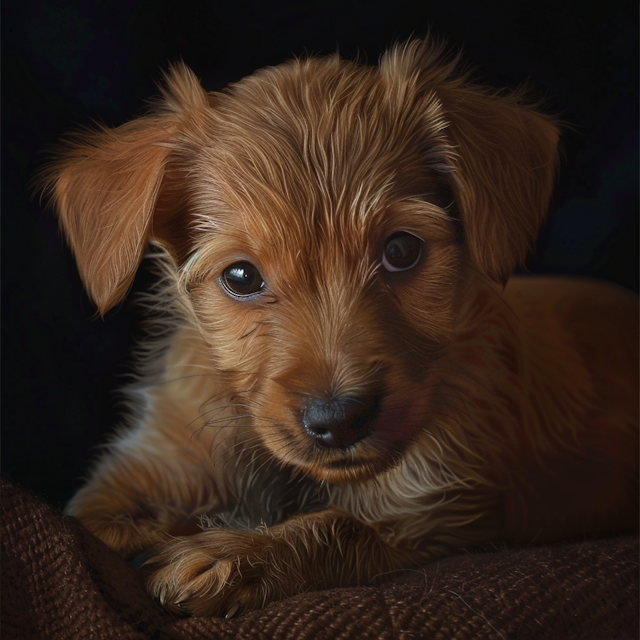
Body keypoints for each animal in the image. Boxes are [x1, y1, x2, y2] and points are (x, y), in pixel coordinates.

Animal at [42, 38, 636, 616]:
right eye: (241, 276)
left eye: (401, 250)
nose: (340, 420)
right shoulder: (141, 469)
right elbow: (98, 523)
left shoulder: (437, 510)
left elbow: (340, 527)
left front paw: (237, 553)